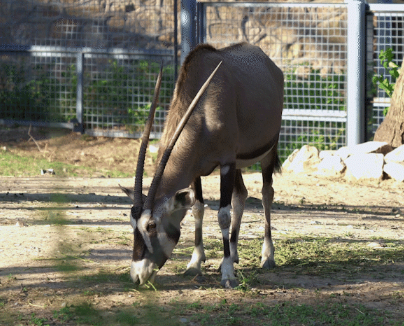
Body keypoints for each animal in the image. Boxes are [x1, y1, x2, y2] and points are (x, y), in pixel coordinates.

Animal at [120, 41, 284, 288]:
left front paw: (227, 274)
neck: (204, 112)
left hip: (267, 151)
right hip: (238, 163)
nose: (138, 276)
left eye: (152, 225)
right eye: (132, 224)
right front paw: (195, 263)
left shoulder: (226, 162)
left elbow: (223, 216)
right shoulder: (196, 171)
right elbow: (198, 209)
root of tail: (271, 65)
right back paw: (233, 254)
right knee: (241, 195)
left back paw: (267, 256)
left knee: (266, 194)